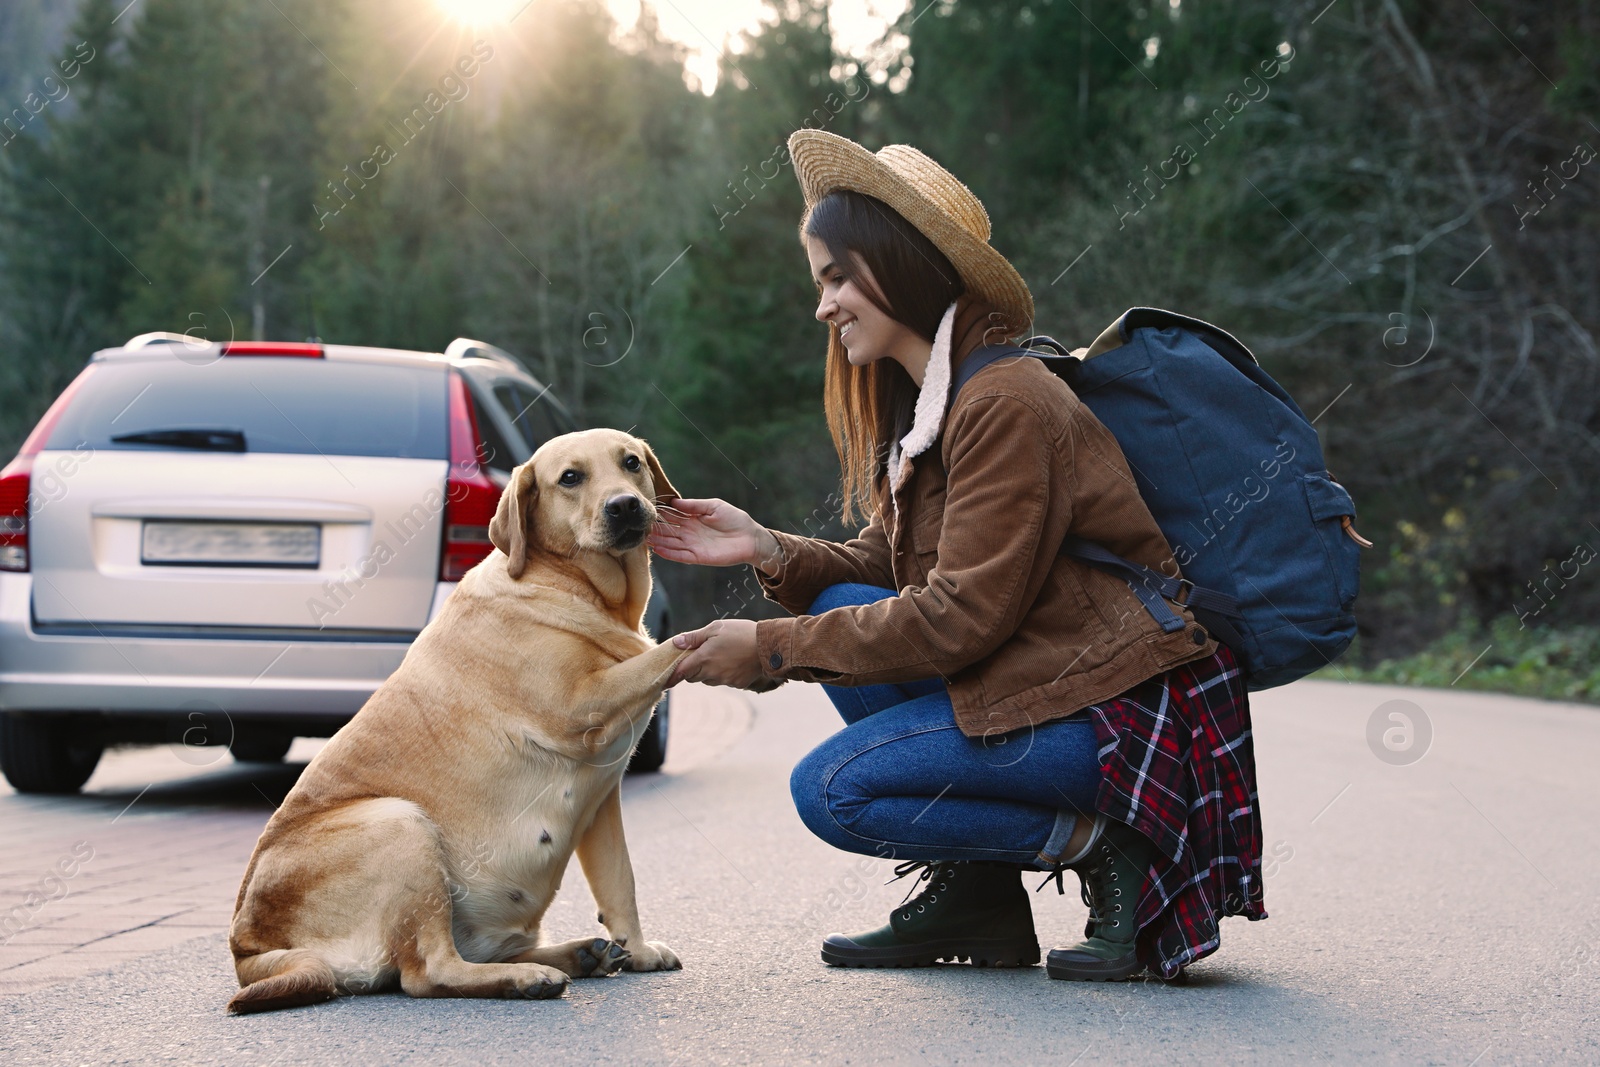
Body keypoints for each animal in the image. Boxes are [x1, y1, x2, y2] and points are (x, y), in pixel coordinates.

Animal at [230, 428, 688, 1017]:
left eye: (631, 464)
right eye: (570, 478)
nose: (625, 505)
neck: (571, 583)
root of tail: (248, 947)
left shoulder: (603, 802)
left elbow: (620, 882)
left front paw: (639, 950)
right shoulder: (582, 705)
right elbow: (675, 649)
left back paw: (579, 954)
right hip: (401, 824)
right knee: (427, 973)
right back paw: (529, 978)